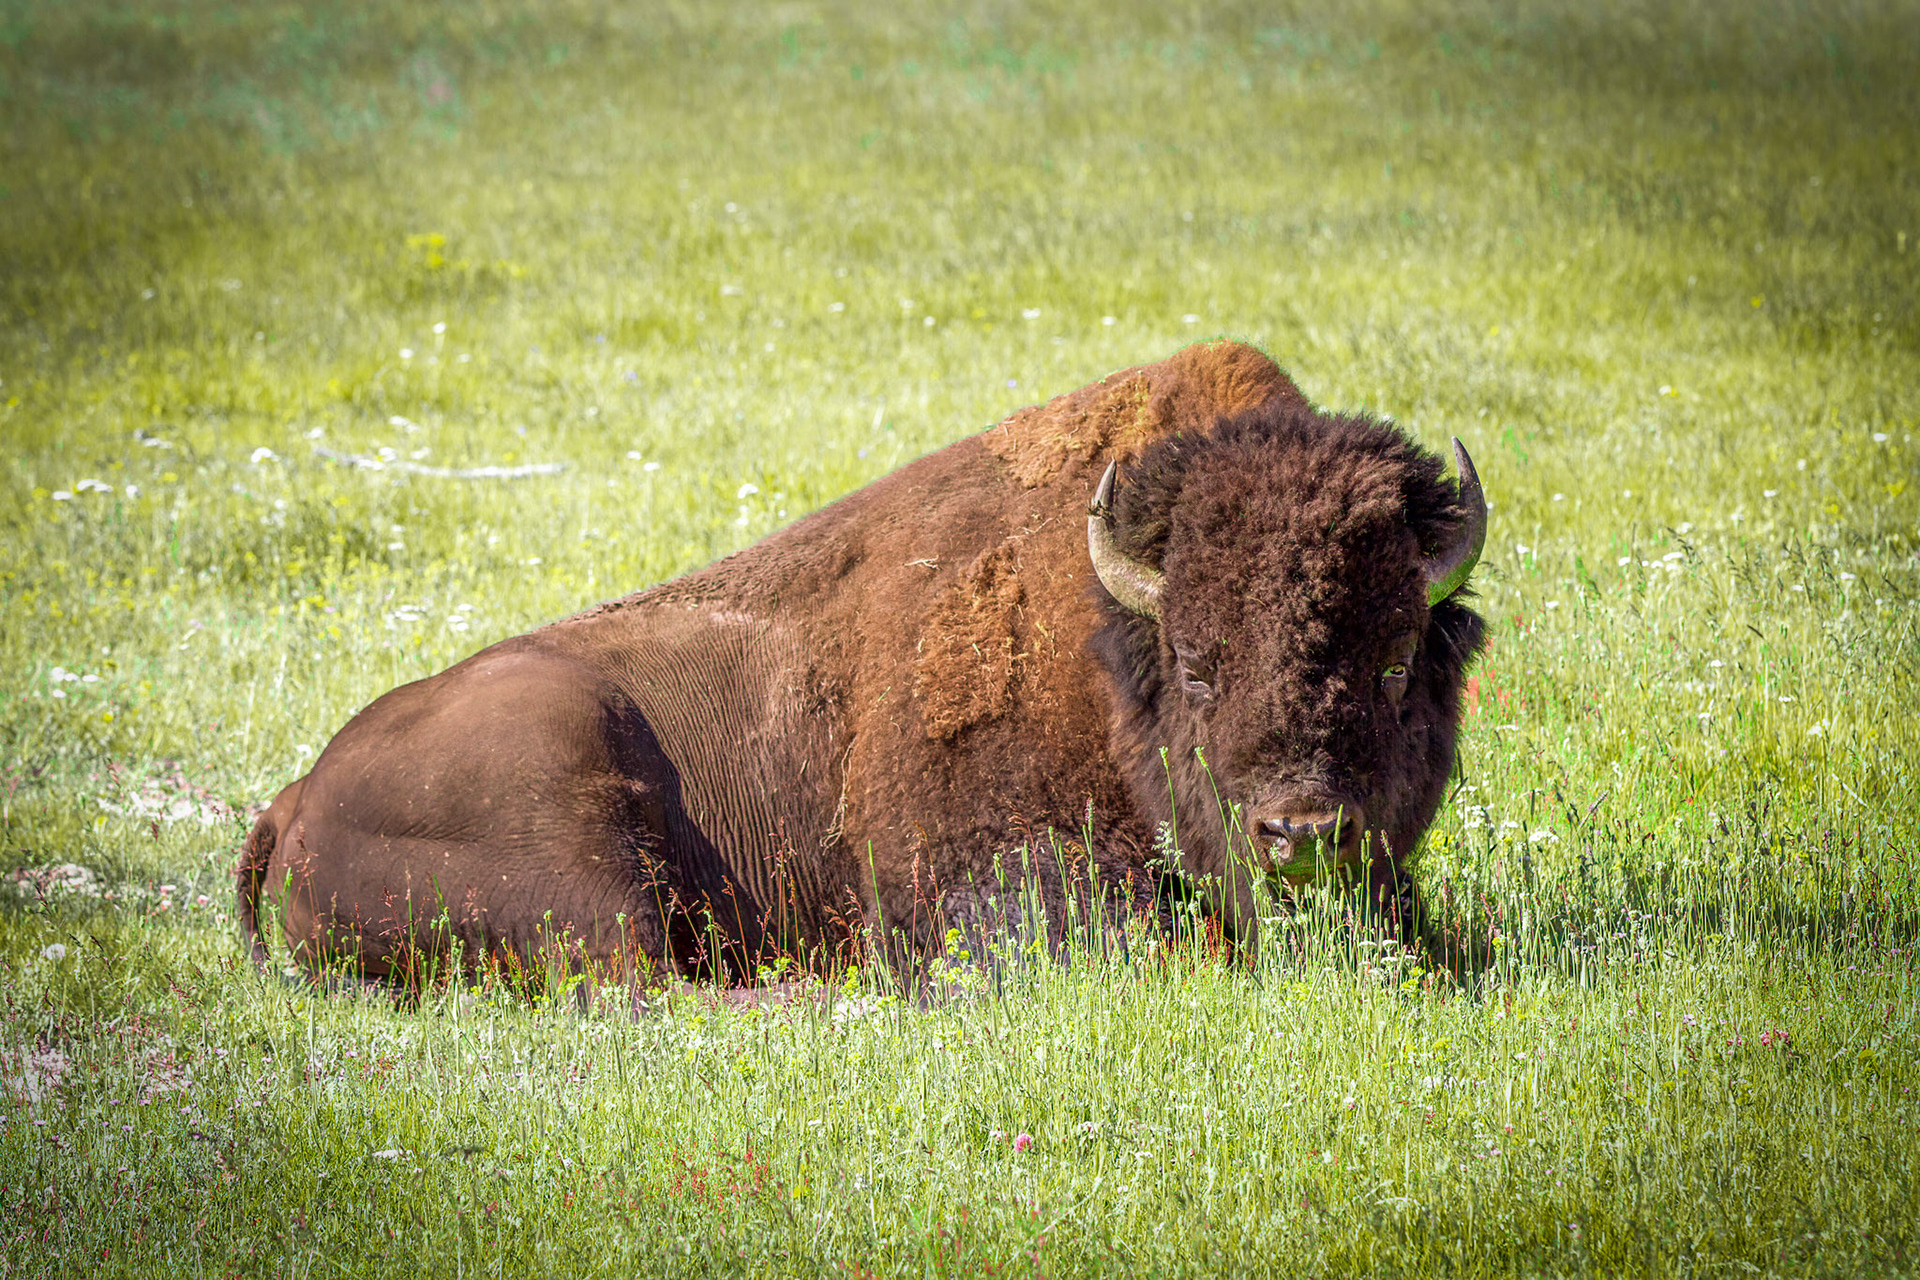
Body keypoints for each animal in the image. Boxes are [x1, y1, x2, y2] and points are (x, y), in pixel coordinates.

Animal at [237, 342, 1486, 987]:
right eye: (1196, 661)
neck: (1103, 639)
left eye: (1395, 660)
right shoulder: (986, 874)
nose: (1301, 831)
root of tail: (294, 796)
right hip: (583, 831)